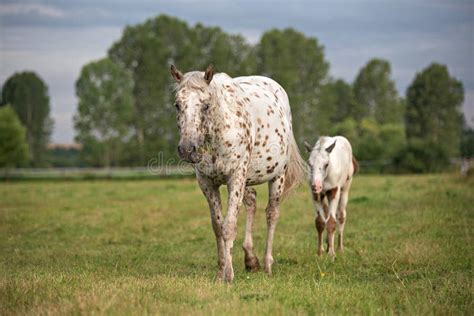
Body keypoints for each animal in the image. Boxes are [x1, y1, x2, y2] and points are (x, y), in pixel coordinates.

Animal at [168, 65, 306, 282]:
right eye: (177, 105)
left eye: (205, 105)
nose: (187, 149)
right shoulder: (207, 183)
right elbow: (217, 227)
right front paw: (220, 273)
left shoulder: (235, 178)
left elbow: (229, 226)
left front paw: (228, 275)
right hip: (247, 180)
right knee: (251, 203)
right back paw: (250, 260)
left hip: (277, 176)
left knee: (272, 214)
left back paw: (267, 264)